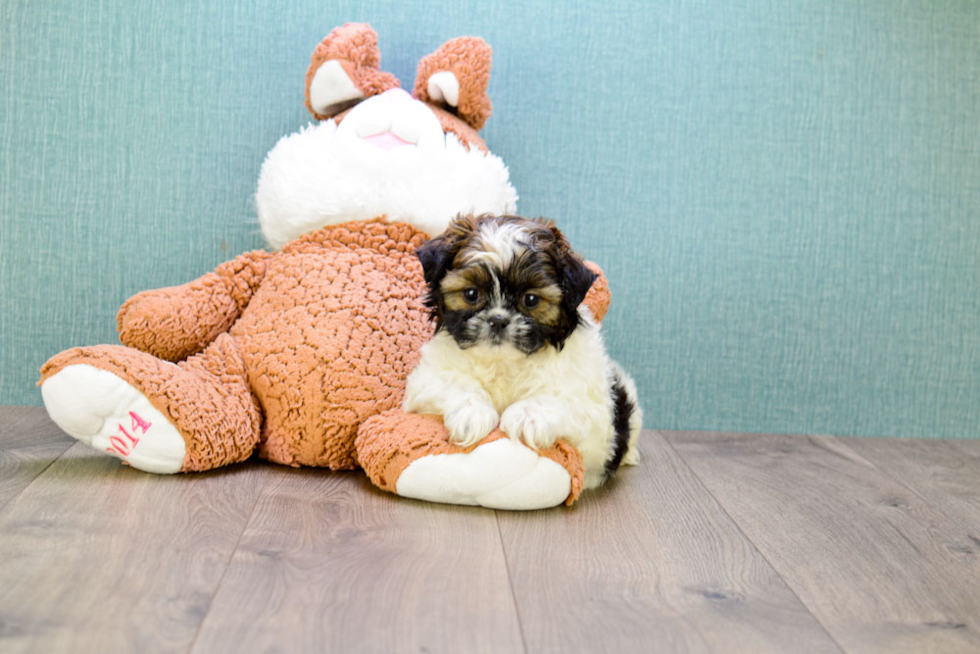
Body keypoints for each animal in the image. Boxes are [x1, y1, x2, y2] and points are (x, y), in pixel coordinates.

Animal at [402, 215, 640, 492]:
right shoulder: (428, 377)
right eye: (471, 294)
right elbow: (455, 382)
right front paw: (473, 413)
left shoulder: (594, 414)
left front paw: (527, 417)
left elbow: (562, 398)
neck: (503, 362)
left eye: (531, 300)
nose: (497, 320)